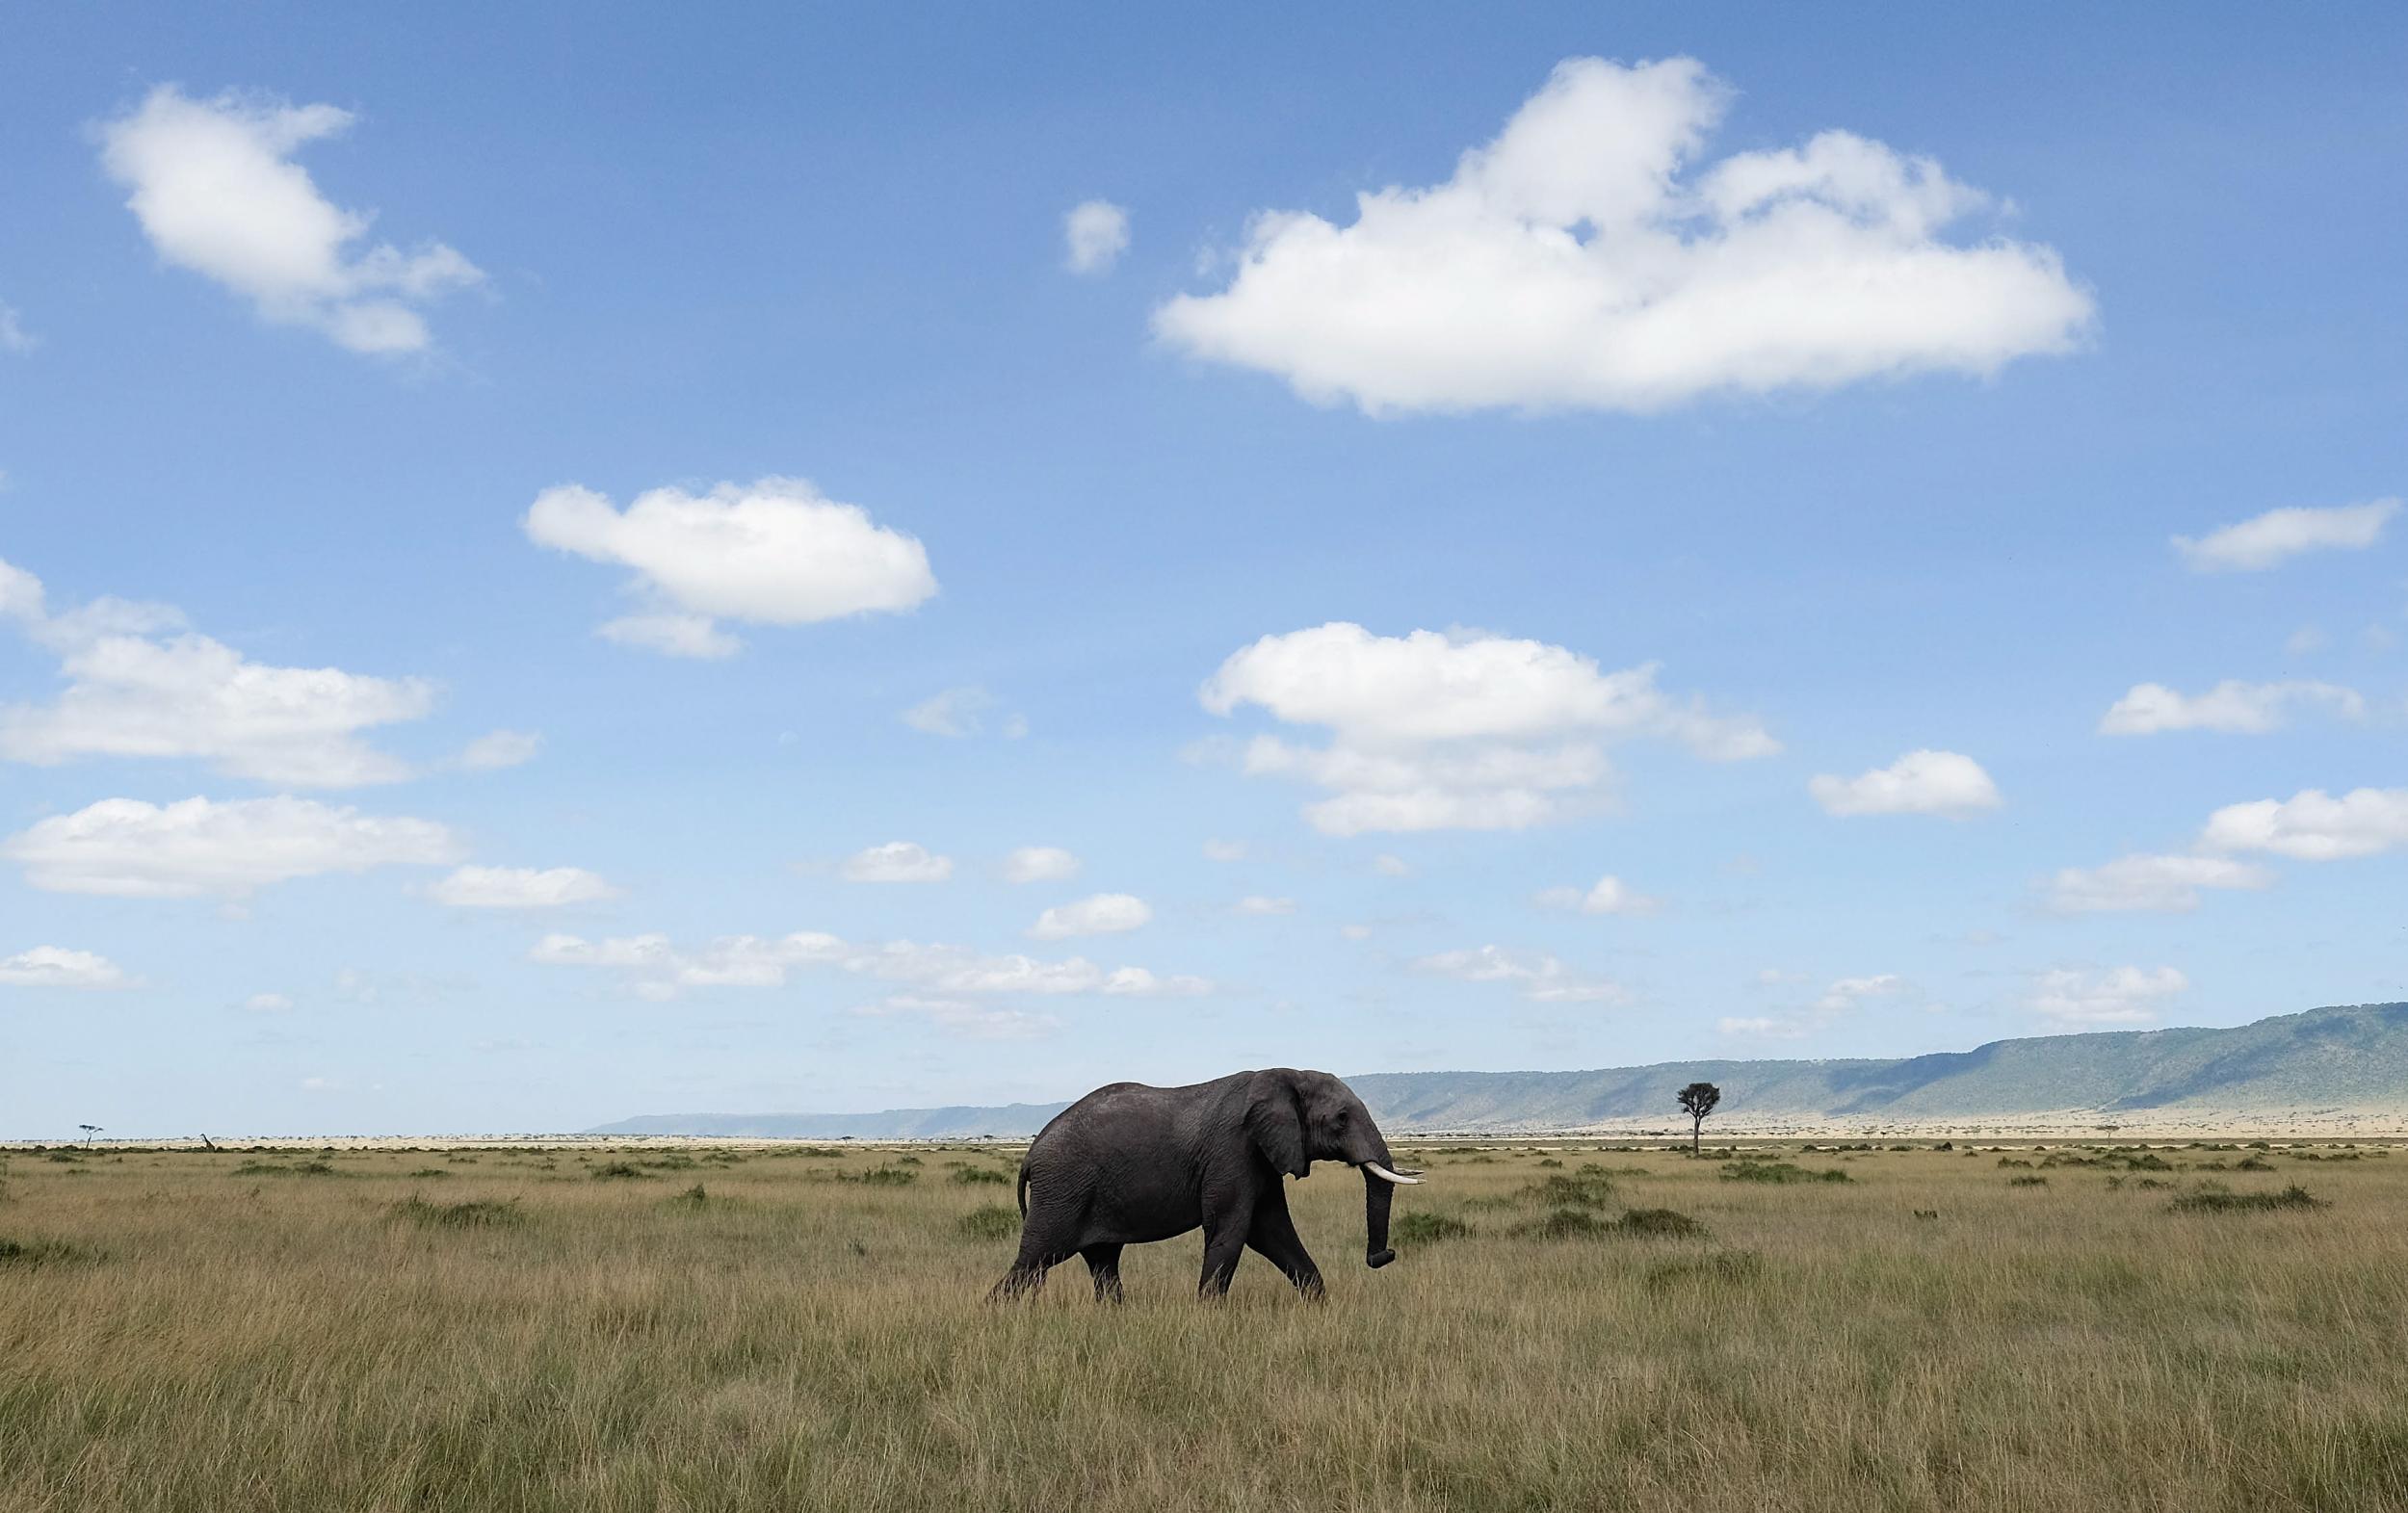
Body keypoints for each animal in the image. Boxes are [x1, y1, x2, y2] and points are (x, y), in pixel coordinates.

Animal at [987, 1064, 1416, 1300]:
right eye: (1341, 1118)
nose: (1384, 1256)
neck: (1284, 1074)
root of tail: (1032, 1153)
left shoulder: (1261, 1156)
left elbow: (1272, 1230)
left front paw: (1318, 1304)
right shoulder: (1233, 1150)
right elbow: (1234, 1230)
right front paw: (1208, 1313)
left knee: (1102, 1262)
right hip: (1062, 1191)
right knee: (1034, 1261)